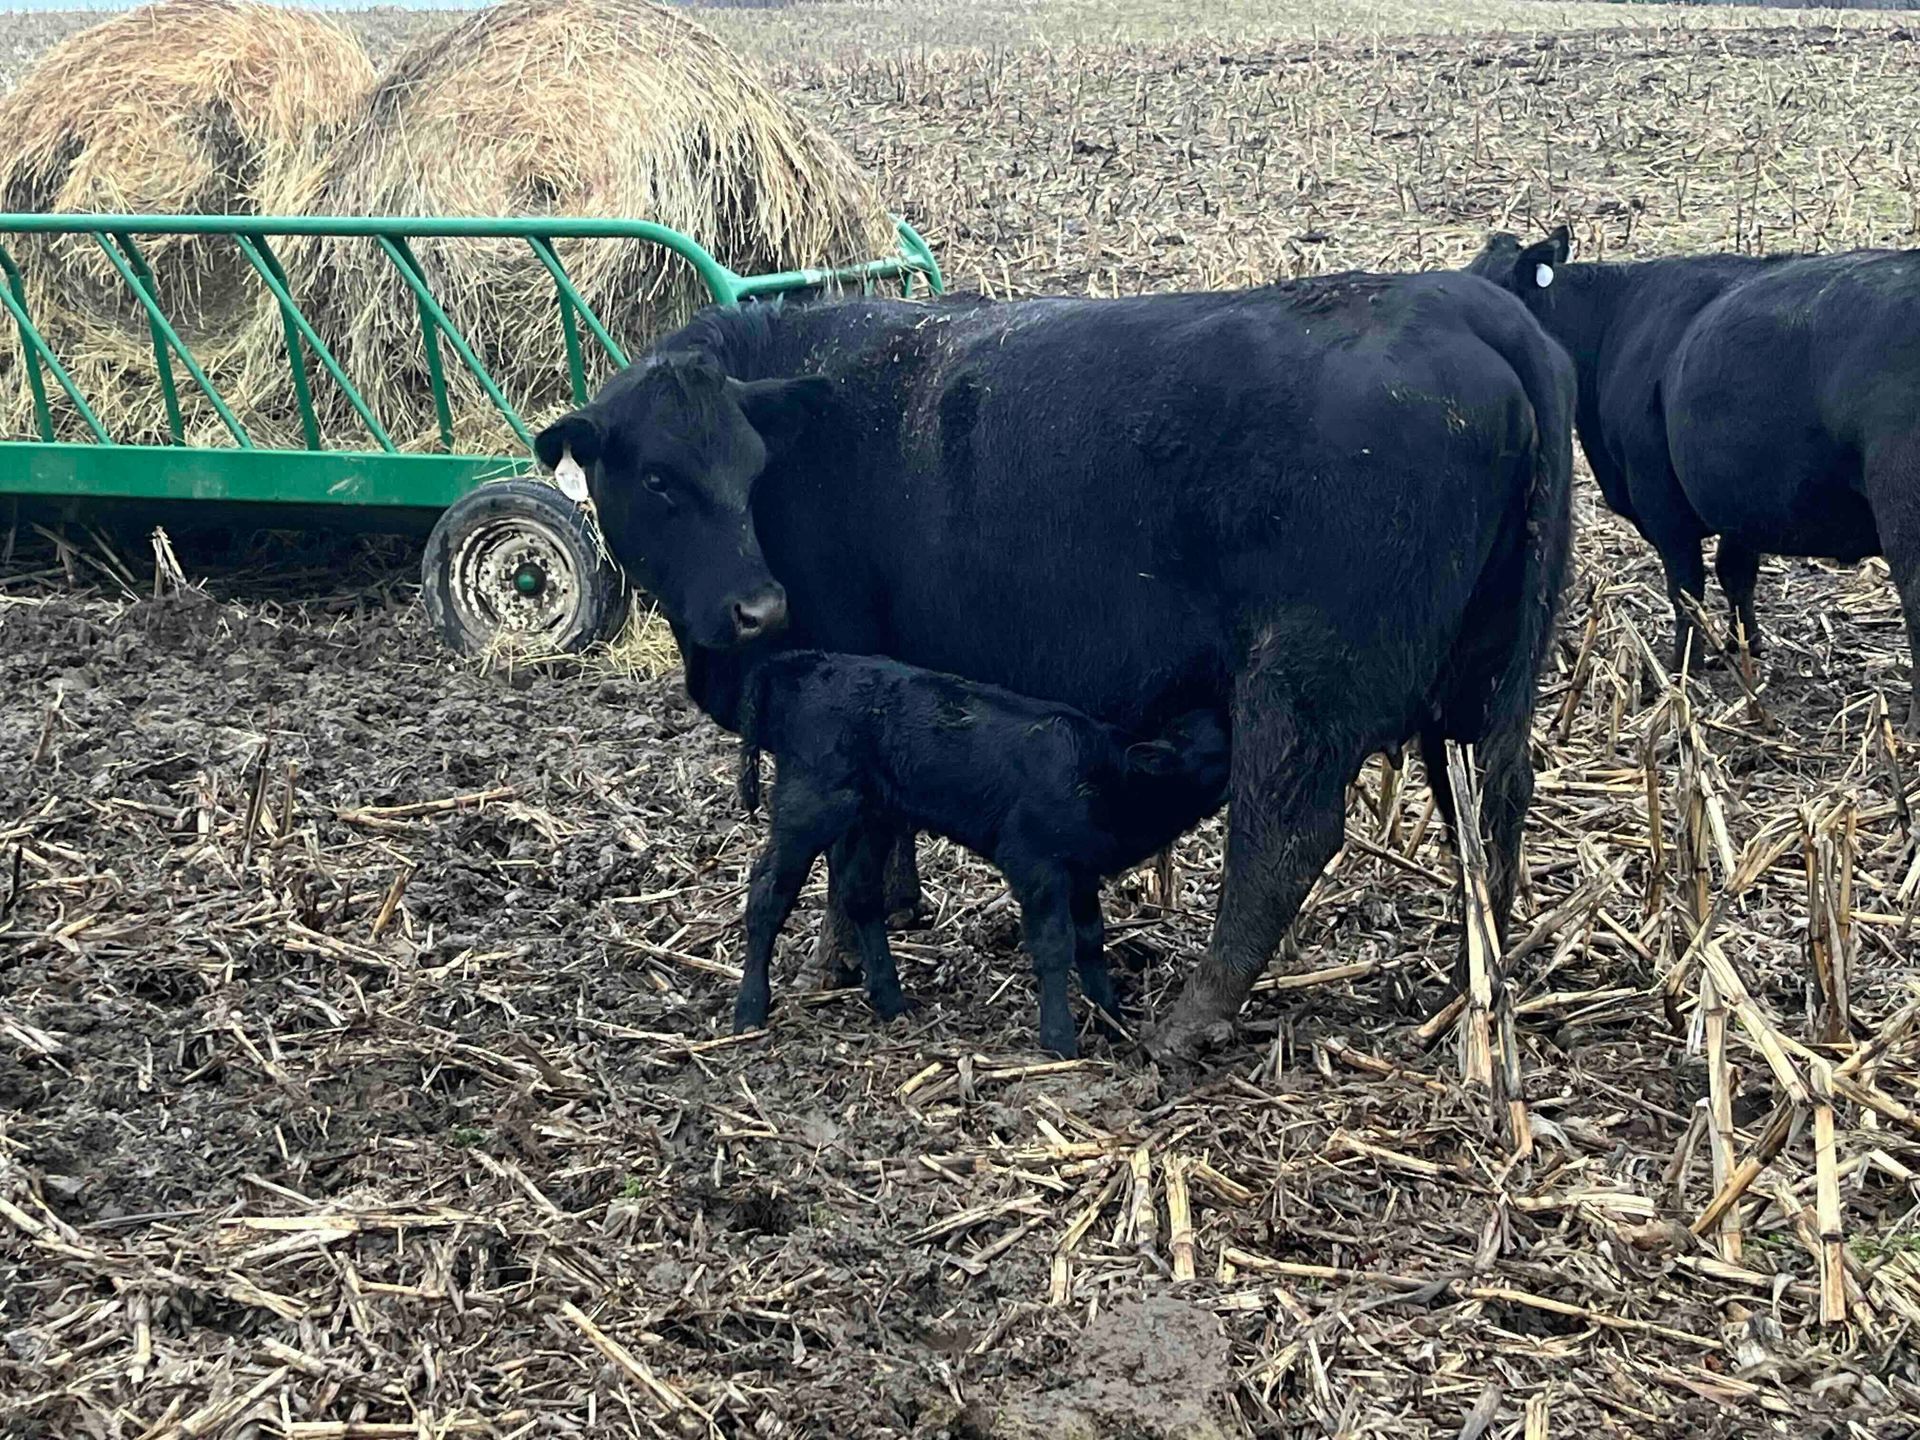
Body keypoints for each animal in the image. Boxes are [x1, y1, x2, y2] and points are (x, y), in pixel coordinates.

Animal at [731, 649, 1231, 1056]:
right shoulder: (1036, 864)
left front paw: (1112, 1018)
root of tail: (805, 663)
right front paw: (1060, 1040)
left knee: (860, 895)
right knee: (768, 893)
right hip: (809, 803)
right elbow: (1054, 944)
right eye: (1220, 749)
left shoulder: (1081, 870)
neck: (1107, 774)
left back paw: (891, 1000)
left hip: (874, 814)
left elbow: (1091, 940)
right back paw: (749, 1010)